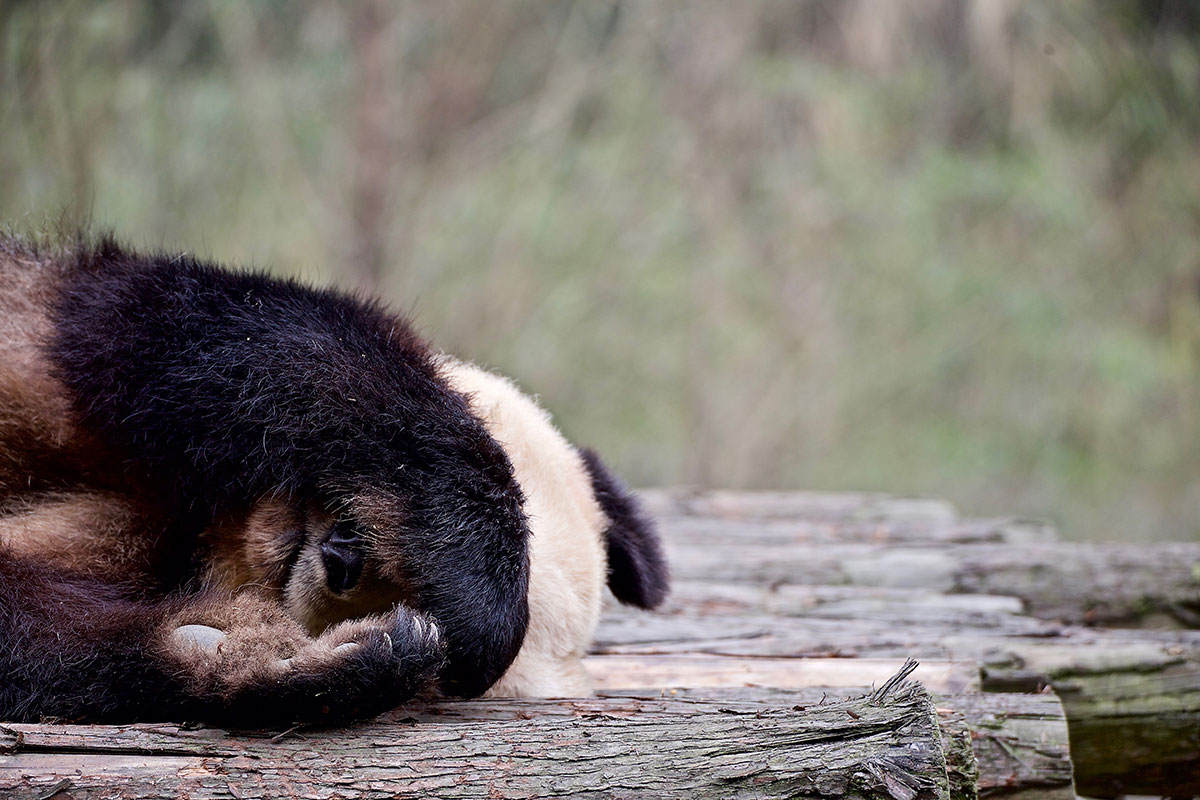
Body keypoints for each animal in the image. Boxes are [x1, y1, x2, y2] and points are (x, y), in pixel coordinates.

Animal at [0, 233, 668, 725]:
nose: (343, 554)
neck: (212, 533)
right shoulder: (67, 339)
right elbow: (232, 344)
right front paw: (477, 589)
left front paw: (269, 660)